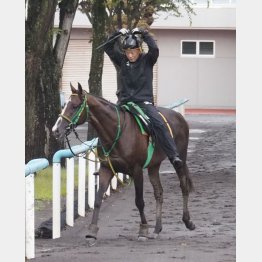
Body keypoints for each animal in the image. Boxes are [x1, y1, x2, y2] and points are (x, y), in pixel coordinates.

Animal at [52, 82, 194, 244]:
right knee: (159, 192)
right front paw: (92, 231)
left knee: (183, 185)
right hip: (154, 165)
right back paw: (157, 229)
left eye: (75, 106)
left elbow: (139, 201)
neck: (116, 132)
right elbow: (98, 199)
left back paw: (188, 221)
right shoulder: (106, 168)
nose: (55, 130)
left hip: (180, 158)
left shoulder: (137, 170)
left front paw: (143, 229)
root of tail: (179, 117)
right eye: (64, 105)